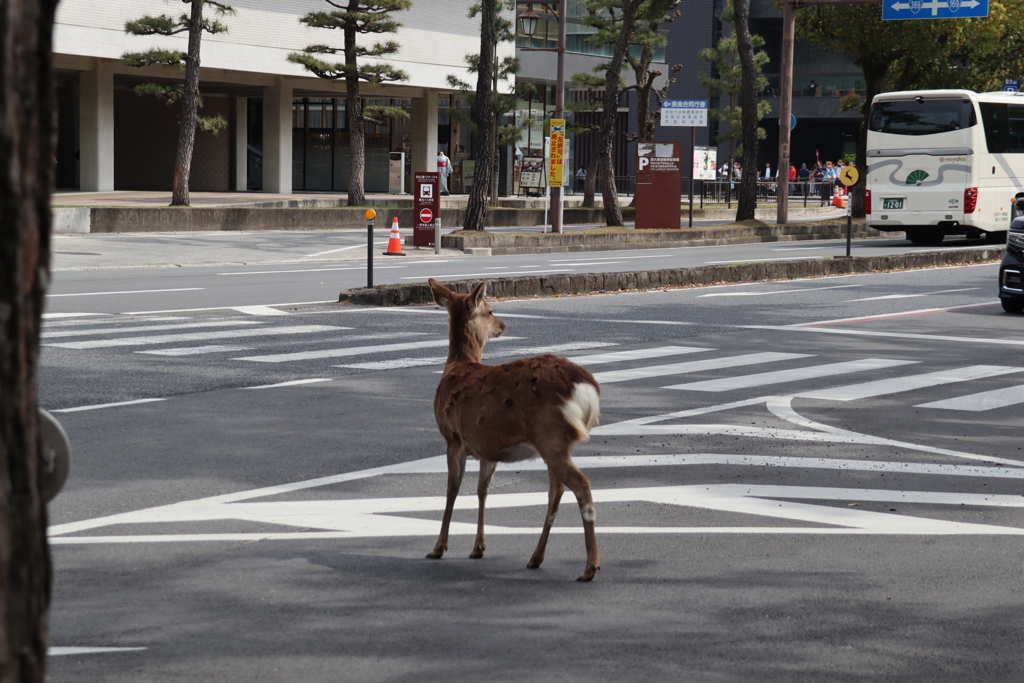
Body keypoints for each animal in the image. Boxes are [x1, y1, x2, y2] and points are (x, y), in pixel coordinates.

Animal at [425, 278, 602, 581]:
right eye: (491, 311)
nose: (503, 325)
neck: (457, 366)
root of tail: (587, 388)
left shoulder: (453, 437)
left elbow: (452, 490)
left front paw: (438, 547)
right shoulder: (487, 447)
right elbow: (482, 490)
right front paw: (478, 547)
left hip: (550, 435)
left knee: (581, 485)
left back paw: (590, 566)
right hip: (556, 442)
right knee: (556, 492)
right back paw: (536, 557)